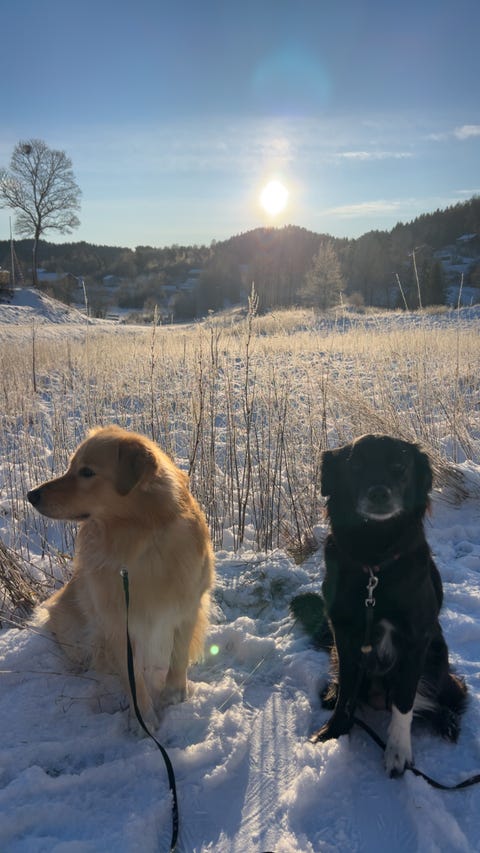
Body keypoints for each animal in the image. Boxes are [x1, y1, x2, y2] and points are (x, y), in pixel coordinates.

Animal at [28, 425, 215, 729]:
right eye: (71, 467)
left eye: (87, 472)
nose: (31, 495)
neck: (138, 538)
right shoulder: (118, 623)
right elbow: (133, 677)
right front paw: (143, 720)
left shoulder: (187, 606)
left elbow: (178, 655)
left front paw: (174, 695)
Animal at [291, 434, 467, 776]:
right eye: (356, 466)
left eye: (399, 466)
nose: (378, 493)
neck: (374, 560)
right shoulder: (344, 634)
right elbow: (347, 691)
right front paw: (335, 730)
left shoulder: (416, 639)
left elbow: (405, 700)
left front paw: (398, 752)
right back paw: (331, 695)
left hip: (438, 656)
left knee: (451, 696)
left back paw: (447, 722)